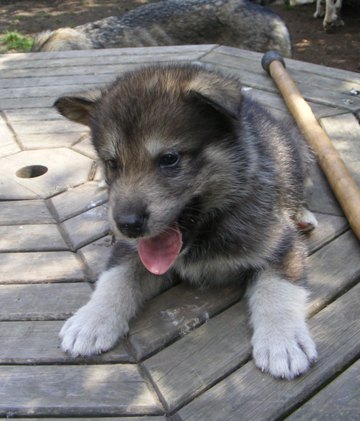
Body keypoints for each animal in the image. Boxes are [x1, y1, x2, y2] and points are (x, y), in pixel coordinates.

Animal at [54, 63, 316, 380]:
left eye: (170, 159)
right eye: (112, 164)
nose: (126, 224)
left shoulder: (280, 243)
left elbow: (278, 288)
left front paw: (283, 340)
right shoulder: (130, 250)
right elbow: (115, 278)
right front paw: (92, 319)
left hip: (301, 155)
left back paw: (303, 215)